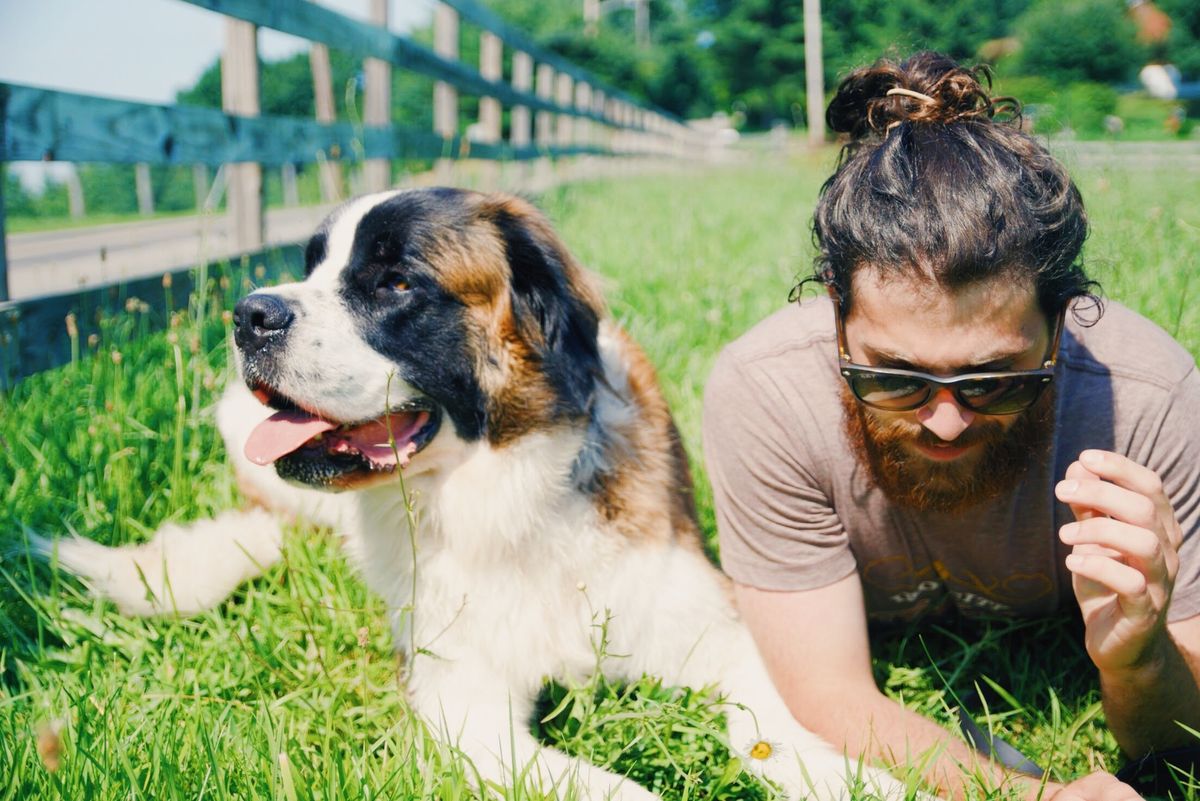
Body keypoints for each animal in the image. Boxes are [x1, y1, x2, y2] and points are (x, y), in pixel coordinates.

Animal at [42, 189, 912, 801]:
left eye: (394, 281)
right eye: (312, 267)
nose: (250, 312)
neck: (502, 496)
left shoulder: (710, 621)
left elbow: (773, 718)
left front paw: (850, 776)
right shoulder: (468, 704)